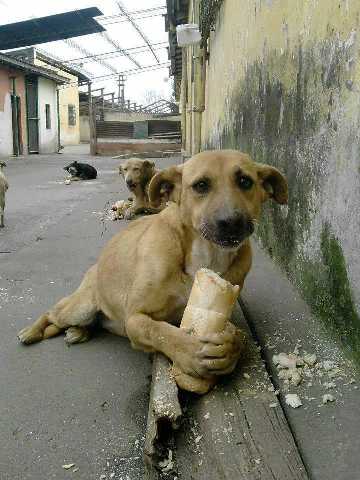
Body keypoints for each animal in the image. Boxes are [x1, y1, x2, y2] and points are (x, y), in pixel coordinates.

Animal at [16, 151, 288, 382]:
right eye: (201, 185)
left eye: (245, 181)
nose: (231, 222)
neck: (205, 255)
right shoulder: (135, 318)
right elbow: (159, 331)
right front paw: (190, 351)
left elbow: (236, 335)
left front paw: (230, 350)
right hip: (79, 307)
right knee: (52, 312)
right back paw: (31, 332)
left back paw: (78, 332)